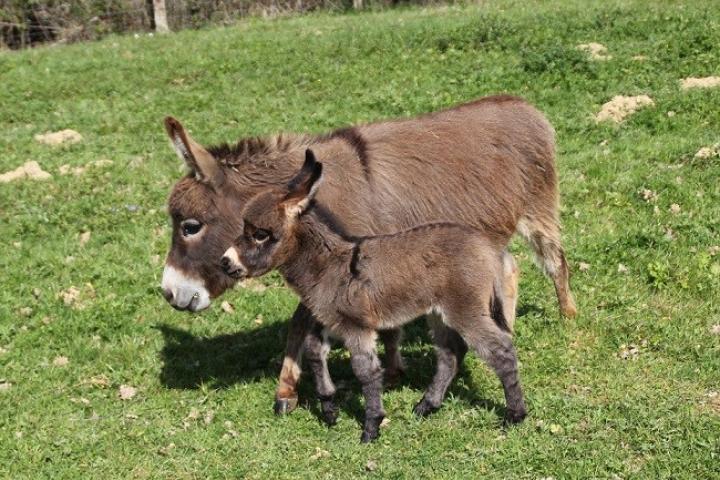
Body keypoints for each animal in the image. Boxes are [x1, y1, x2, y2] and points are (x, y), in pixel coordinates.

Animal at [222, 151, 524, 442]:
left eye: (261, 234)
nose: (225, 262)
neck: (328, 266)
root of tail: (486, 248)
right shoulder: (329, 322)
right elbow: (313, 352)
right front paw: (329, 408)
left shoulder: (356, 327)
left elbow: (365, 372)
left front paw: (371, 427)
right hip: (438, 312)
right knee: (451, 353)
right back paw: (426, 405)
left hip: (465, 308)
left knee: (501, 350)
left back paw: (515, 415)